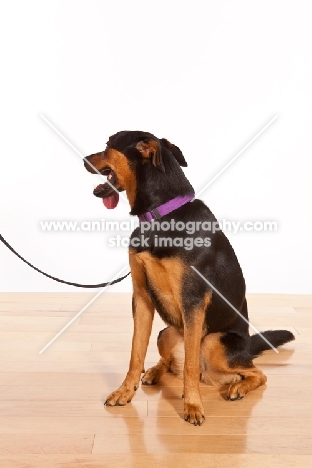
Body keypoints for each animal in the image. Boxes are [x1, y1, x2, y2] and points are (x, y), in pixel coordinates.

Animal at [83, 130, 294, 426]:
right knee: (172, 363)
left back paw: (238, 387)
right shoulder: (142, 298)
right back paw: (155, 371)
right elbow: (136, 353)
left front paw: (193, 405)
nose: (83, 159)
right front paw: (125, 391)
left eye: (108, 145)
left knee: (255, 373)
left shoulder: (192, 300)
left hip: (214, 342)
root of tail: (248, 345)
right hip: (167, 332)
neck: (160, 216)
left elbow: (191, 367)